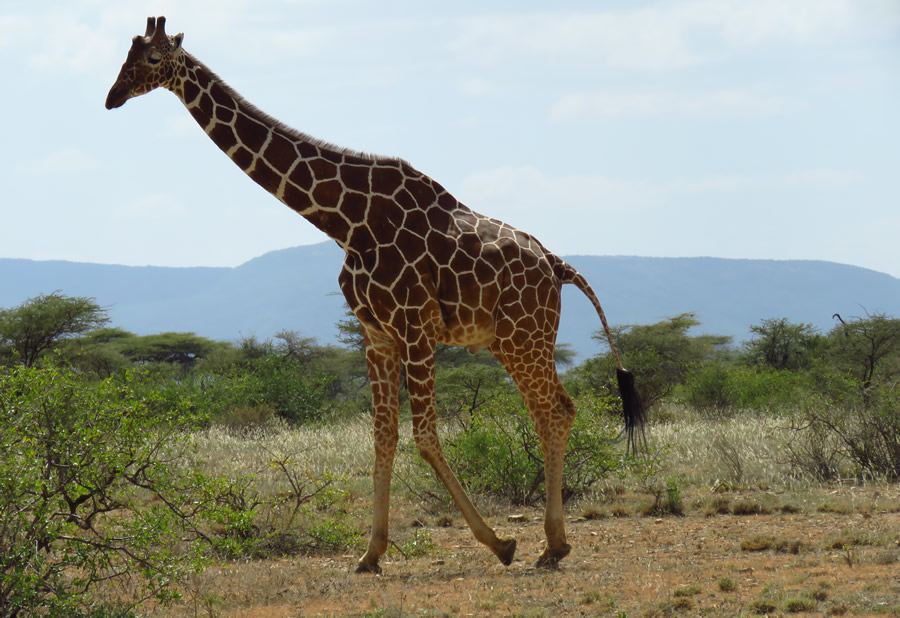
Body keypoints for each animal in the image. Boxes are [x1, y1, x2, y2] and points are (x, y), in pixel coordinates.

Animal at [105, 15, 644, 572]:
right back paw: (553, 542)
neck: (344, 221)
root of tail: (557, 265)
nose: (112, 97)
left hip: (524, 336)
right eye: (124, 56)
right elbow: (383, 436)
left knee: (556, 410)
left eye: (151, 59)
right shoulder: (376, 333)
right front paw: (370, 553)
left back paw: (553, 544)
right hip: (510, 340)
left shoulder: (416, 326)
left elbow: (425, 436)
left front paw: (500, 543)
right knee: (552, 410)